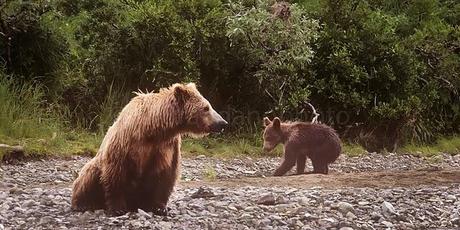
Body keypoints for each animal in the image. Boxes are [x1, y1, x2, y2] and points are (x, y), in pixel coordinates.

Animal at [71, 83, 227, 216]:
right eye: (206, 108)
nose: (223, 123)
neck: (153, 128)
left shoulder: (166, 147)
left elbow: (165, 175)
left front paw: (160, 208)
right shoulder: (125, 143)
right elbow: (116, 173)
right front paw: (117, 209)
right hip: (94, 166)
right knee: (87, 176)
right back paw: (82, 204)